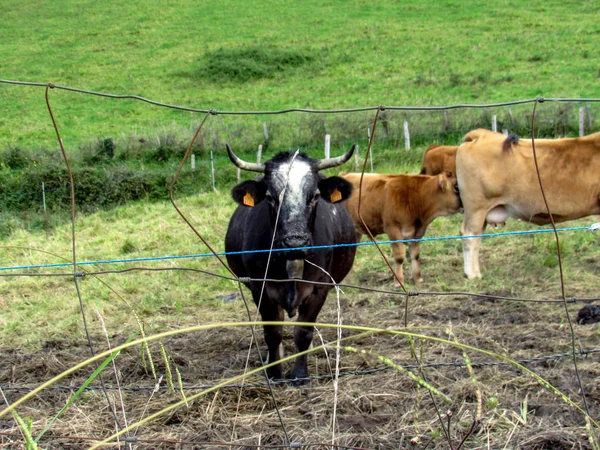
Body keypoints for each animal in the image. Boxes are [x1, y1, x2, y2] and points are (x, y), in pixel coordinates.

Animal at [224, 143, 356, 380]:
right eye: (270, 197)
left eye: (315, 195)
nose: (295, 242)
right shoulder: (260, 288)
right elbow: (273, 332)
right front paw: (275, 372)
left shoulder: (319, 288)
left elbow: (303, 332)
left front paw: (300, 374)